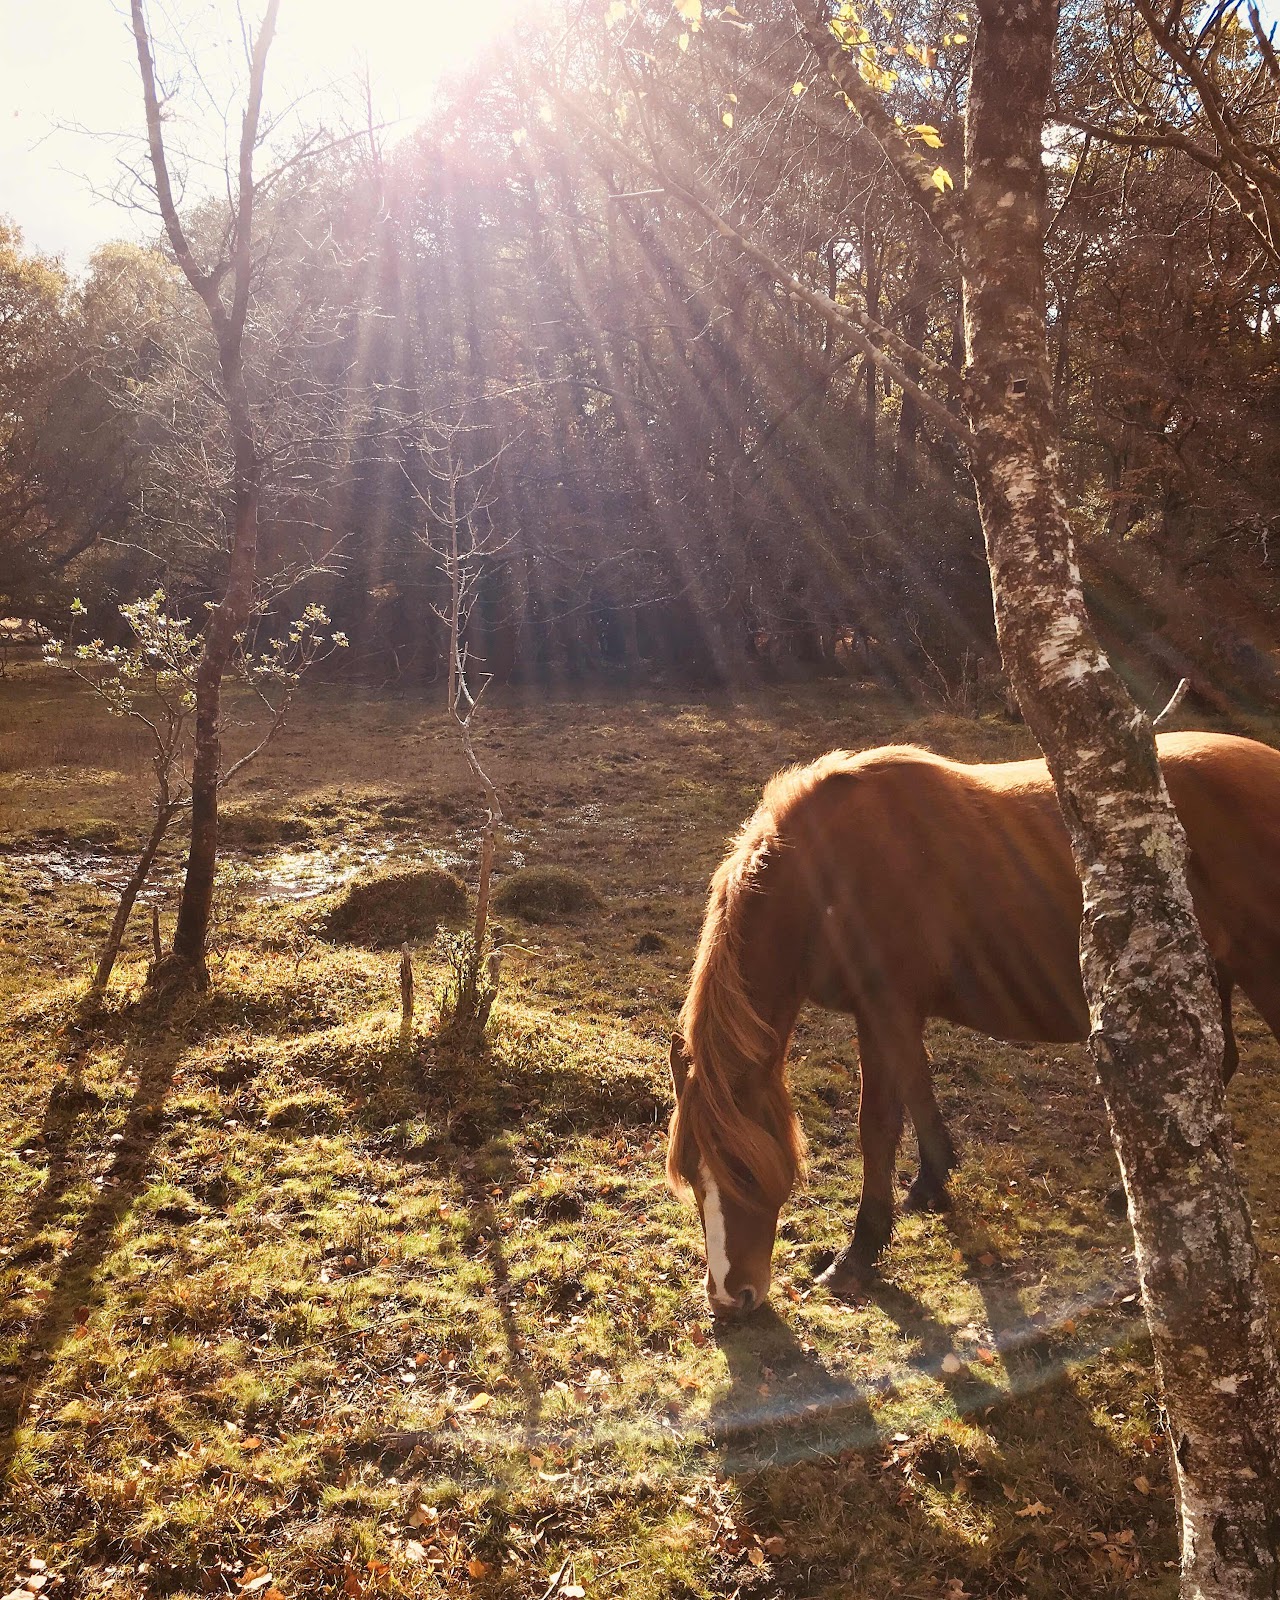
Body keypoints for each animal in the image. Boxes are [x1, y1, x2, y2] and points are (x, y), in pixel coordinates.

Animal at [665, 732, 1280, 1318]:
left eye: (745, 1173)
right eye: (693, 1176)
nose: (729, 1297)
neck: (829, 875)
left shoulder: (884, 1009)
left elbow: (878, 1125)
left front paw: (856, 1256)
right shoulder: (896, 1015)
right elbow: (918, 1091)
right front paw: (931, 1186)